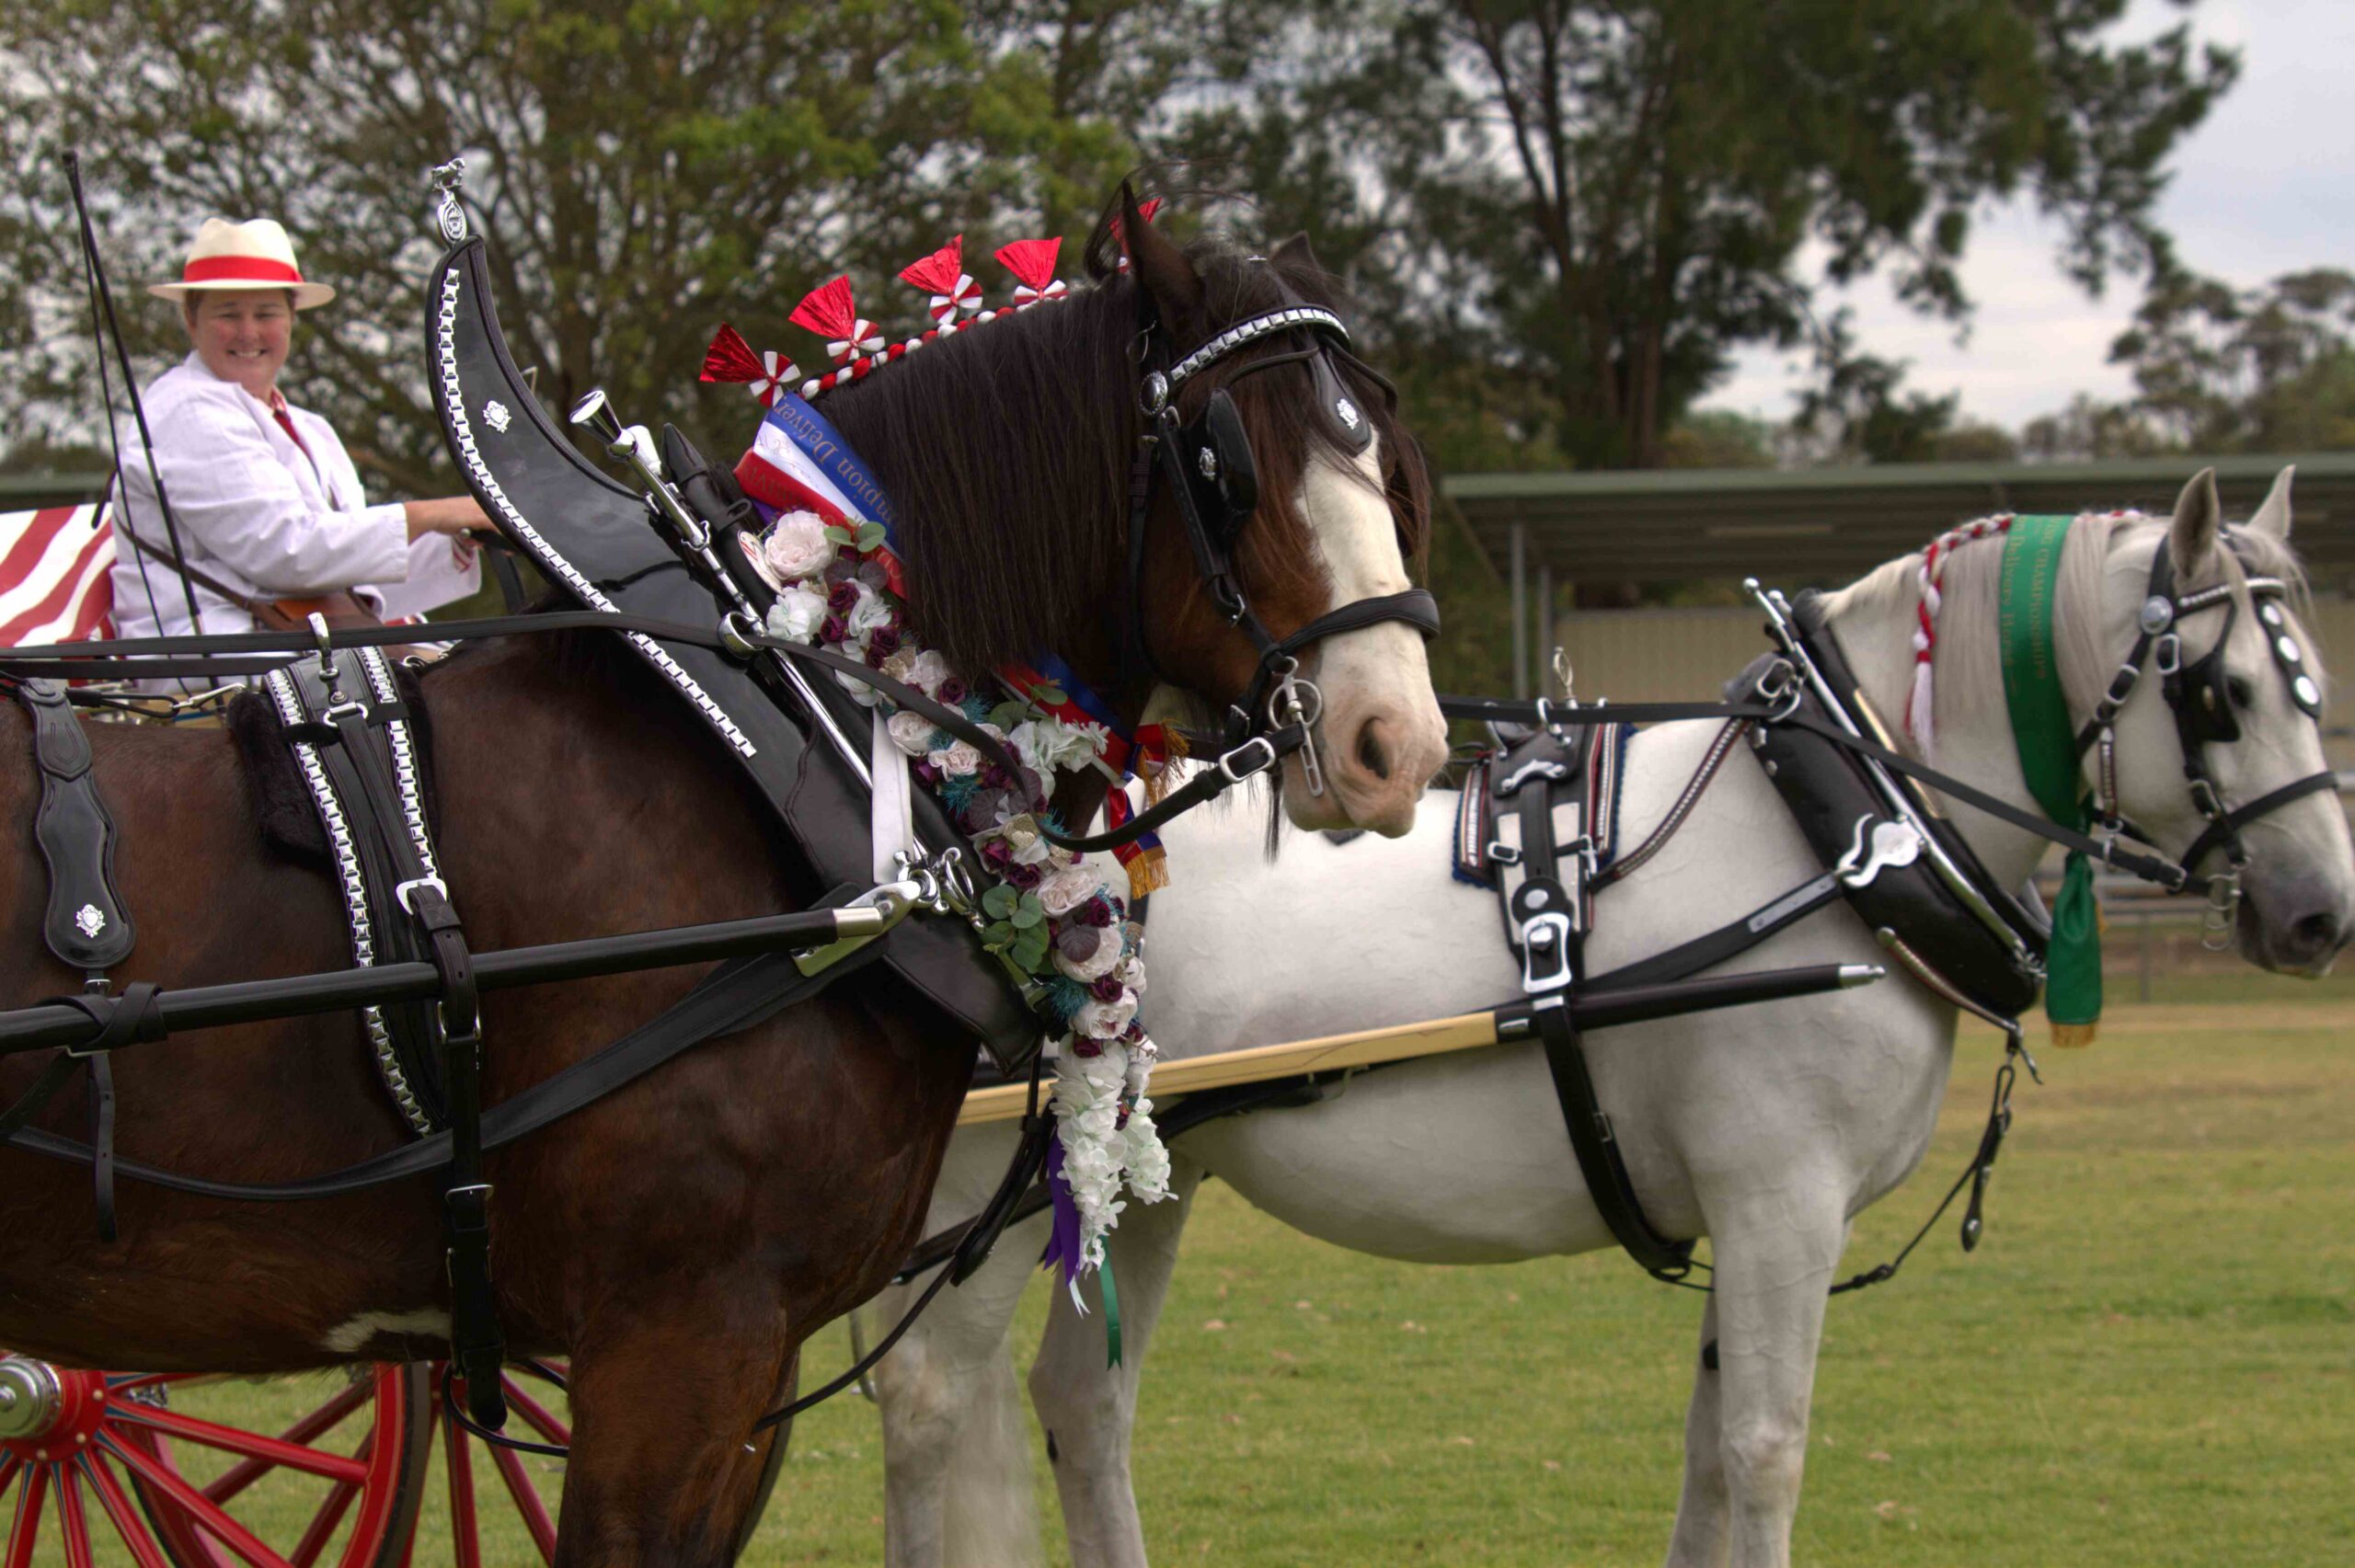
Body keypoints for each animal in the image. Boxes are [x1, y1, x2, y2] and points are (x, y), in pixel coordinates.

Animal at [0, 200, 1450, 1553]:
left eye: (1386, 455)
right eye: (1227, 465)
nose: (1398, 743)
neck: (809, 723)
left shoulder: (745, 1363)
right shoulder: (680, 1336)